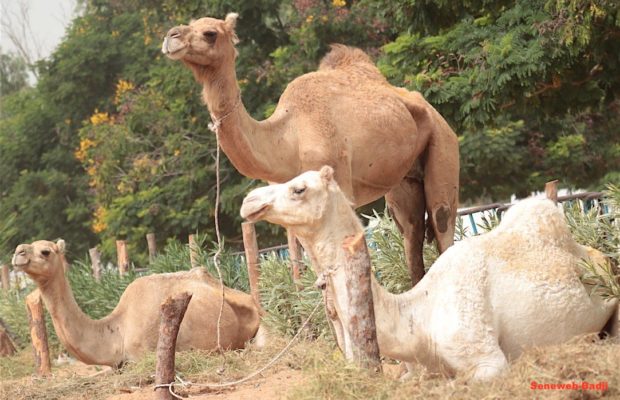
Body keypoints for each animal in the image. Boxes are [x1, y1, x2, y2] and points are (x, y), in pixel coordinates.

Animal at [162, 12, 458, 284]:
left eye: (210, 33)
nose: (171, 36)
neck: (288, 137)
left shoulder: (339, 182)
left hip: (443, 141)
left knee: (442, 221)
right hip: (403, 179)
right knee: (411, 230)